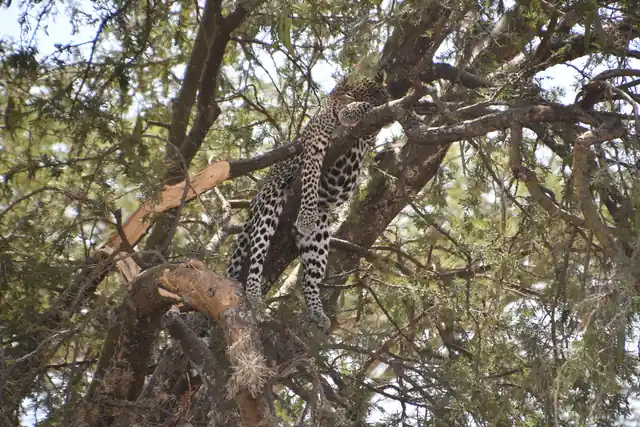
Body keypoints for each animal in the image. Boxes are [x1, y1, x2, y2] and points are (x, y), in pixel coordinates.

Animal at [226, 72, 389, 331]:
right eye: (374, 91)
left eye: (382, 93)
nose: (388, 97)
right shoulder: (315, 142)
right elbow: (311, 178)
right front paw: (305, 216)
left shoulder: (366, 134)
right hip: (268, 204)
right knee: (256, 257)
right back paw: (253, 295)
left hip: (319, 237)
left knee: (309, 279)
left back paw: (317, 312)